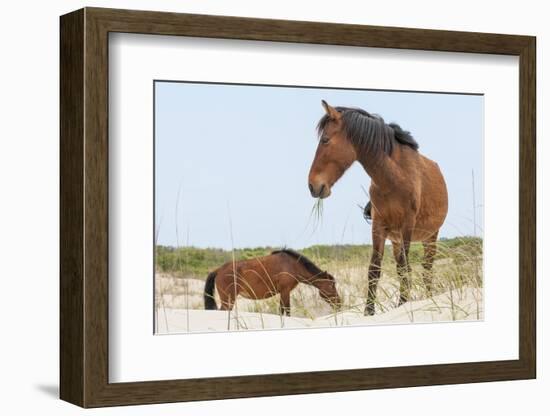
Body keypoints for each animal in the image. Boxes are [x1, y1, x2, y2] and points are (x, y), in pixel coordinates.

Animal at [204, 250, 340, 316]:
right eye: (332, 286)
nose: (339, 303)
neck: (292, 265)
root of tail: (218, 270)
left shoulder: (283, 293)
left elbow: (281, 310)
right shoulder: (285, 292)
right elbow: (287, 310)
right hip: (228, 300)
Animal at [308, 101, 450, 316]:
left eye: (325, 140)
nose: (312, 186)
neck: (394, 177)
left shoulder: (407, 225)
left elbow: (407, 268)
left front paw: (404, 303)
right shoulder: (379, 226)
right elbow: (375, 270)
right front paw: (370, 311)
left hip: (430, 236)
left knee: (427, 268)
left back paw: (428, 297)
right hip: (397, 239)